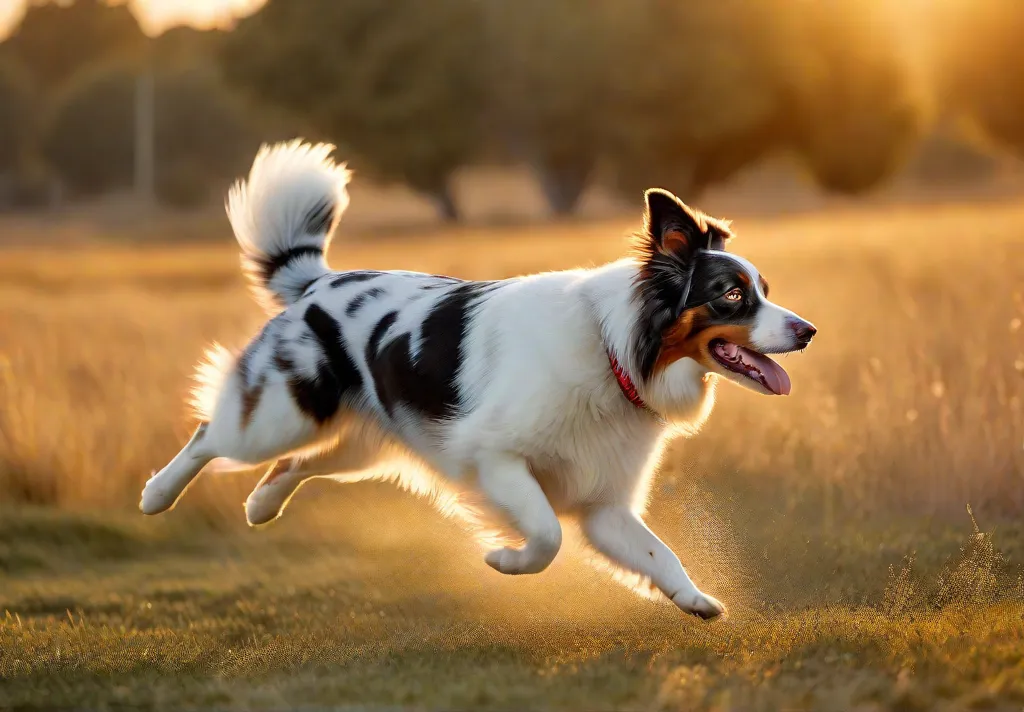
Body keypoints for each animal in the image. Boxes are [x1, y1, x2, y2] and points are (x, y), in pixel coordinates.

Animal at [142, 138, 815, 618]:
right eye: (732, 295)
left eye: (764, 289)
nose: (808, 330)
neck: (614, 352)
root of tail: (315, 282)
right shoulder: (496, 458)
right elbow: (546, 535)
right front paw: (502, 559)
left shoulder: (603, 503)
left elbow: (659, 552)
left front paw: (694, 600)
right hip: (282, 416)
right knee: (210, 435)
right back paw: (157, 495)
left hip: (359, 446)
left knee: (296, 465)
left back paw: (260, 506)